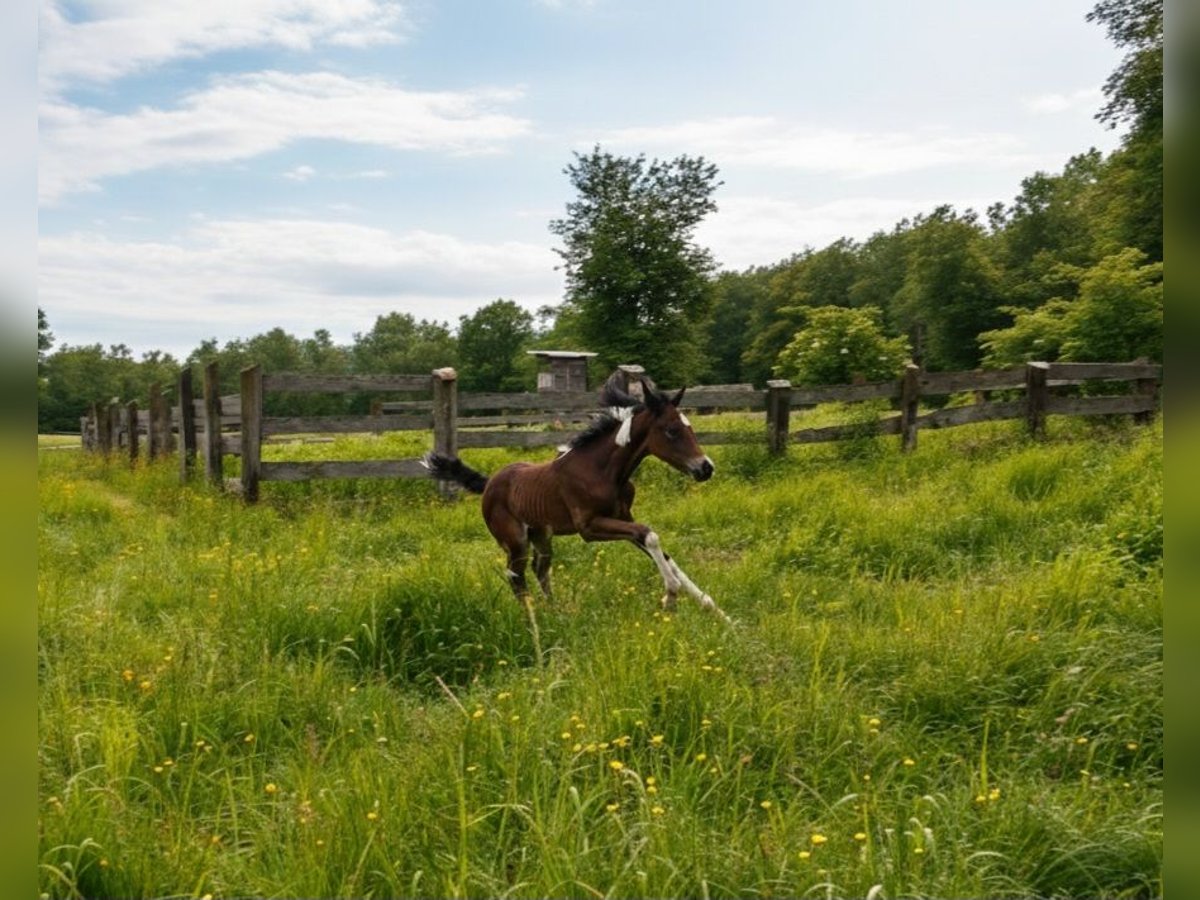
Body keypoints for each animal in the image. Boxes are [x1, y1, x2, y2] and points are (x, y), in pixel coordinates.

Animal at [423, 372, 729, 621]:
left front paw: (715, 610)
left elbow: (660, 550)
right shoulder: (589, 527)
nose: (706, 468)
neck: (604, 471)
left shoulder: (623, 516)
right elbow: (650, 535)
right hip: (515, 540)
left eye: (690, 427)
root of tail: (489, 484)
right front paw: (671, 596)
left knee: (540, 569)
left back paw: (555, 612)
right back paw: (534, 620)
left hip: (541, 536)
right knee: (516, 576)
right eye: (671, 430)